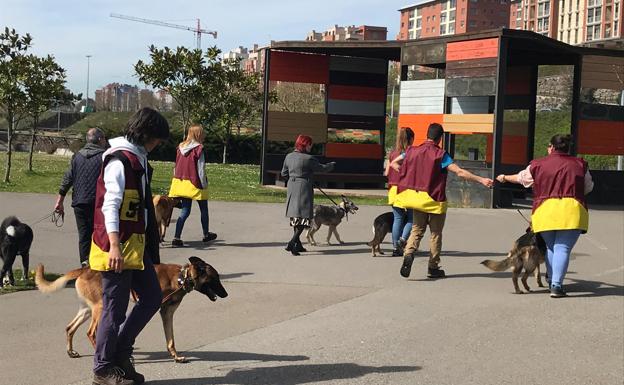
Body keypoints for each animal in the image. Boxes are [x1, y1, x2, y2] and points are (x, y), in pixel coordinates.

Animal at [35, 256, 228, 362]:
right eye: (215, 278)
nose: (226, 294)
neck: (181, 277)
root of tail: (84, 270)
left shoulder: (167, 313)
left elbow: (170, 340)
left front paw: (176, 357)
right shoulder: (149, 308)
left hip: (87, 310)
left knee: (70, 328)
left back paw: (71, 351)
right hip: (100, 308)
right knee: (91, 333)